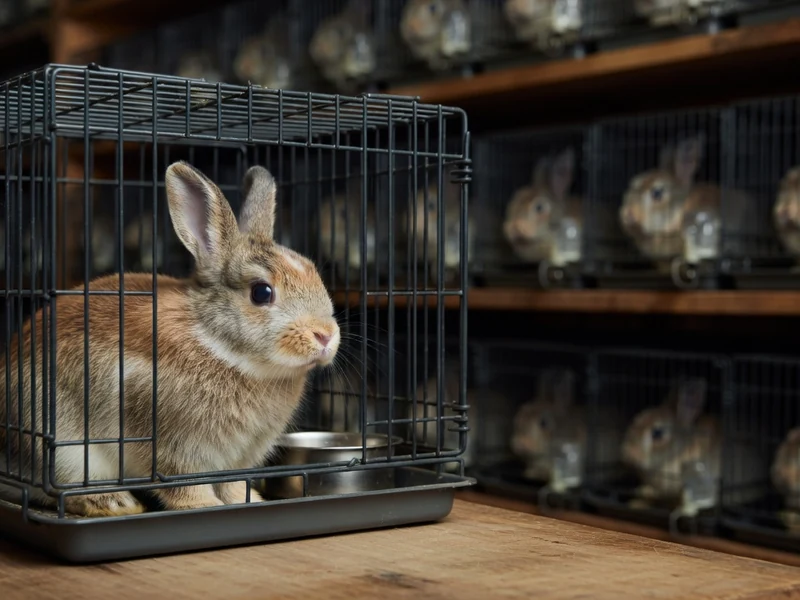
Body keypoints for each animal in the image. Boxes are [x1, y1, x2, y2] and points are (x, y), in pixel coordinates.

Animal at [0, 161, 341, 517]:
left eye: (315, 273)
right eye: (261, 293)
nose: (326, 335)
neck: (217, 344)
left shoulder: (238, 458)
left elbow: (232, 485)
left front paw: (249, 500)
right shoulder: (175, 447)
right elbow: (184, 483)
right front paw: (203, 505)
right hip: (63, 448)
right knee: (62, 490)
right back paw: (116, 502)